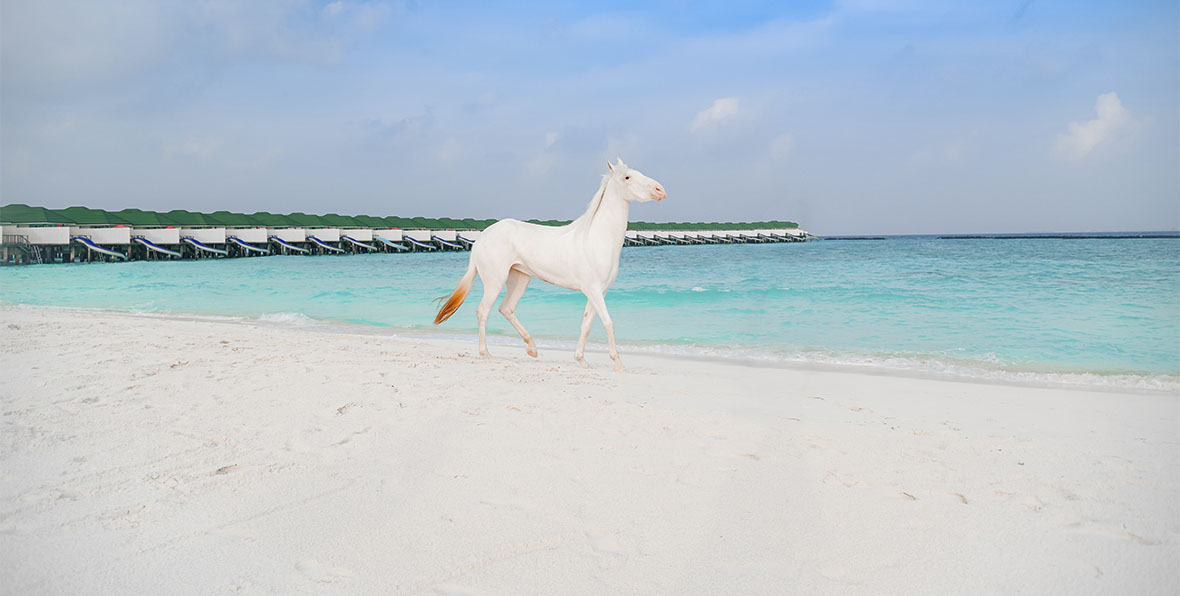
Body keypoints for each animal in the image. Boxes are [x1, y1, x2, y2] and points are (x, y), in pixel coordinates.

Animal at [433, 157, 666, 371]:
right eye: (627, 177)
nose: (660, 190)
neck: (596, 238)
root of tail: (481, 239)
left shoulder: (598, 291)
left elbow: (587, 324)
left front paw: (581, 360)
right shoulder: (593, 290)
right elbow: (608, 323)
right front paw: (618, 363)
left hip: (520, 278)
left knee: (506, 309)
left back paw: (532, 349)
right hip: (495, 281)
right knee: (483, 311)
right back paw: (486, 353)